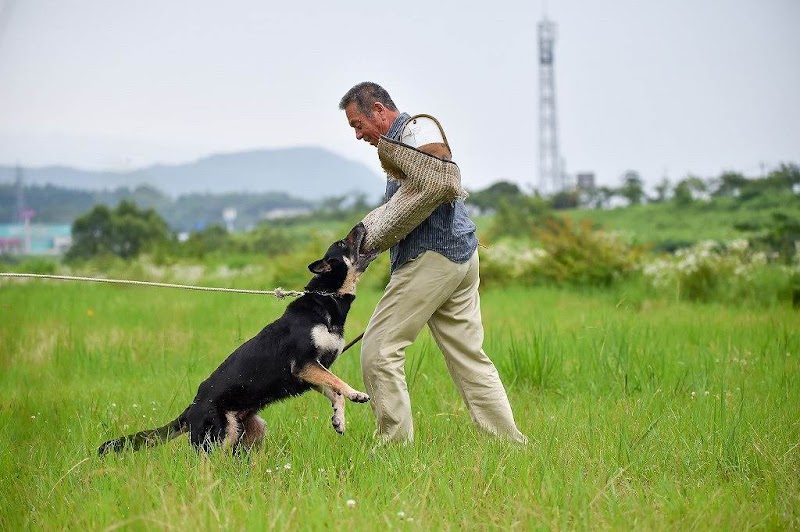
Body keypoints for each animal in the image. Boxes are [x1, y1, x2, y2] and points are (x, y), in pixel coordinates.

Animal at [97, 222, 378, 456]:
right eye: (342, 242)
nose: (361, 224)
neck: (325, 299)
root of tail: (191, 409)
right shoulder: (304, 365)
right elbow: (338, 382)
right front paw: (356, 394)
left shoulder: (309, 372)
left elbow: (334, 391)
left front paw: (339, 418)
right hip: (219, 436)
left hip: (251, 431)